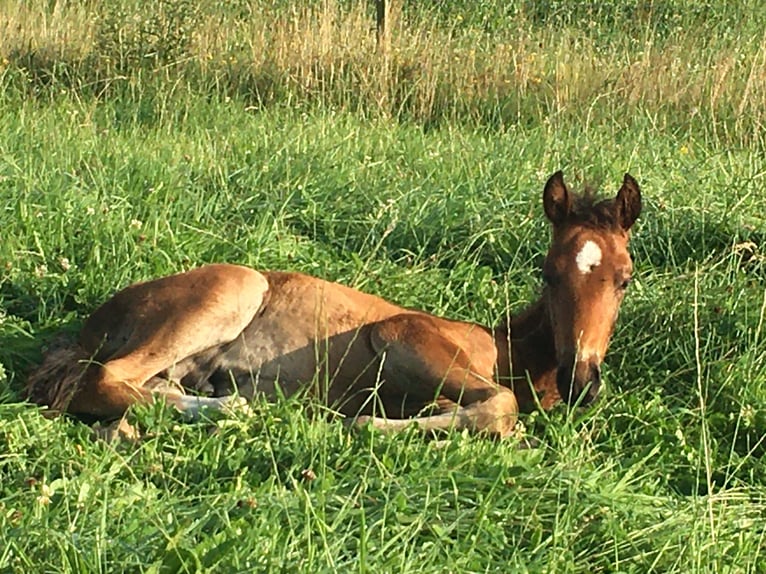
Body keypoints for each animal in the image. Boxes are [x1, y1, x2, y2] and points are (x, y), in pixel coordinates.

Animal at [25, 173, 640, 438]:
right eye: (547, 271)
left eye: (625, 280)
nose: (582, 379)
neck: (505, 349)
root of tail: (95, 321)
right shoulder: (402, 335)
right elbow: (501, 405)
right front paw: (368, 423)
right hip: (233, 289)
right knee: (106, 380)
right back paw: (245, 410)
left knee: (146, 389)